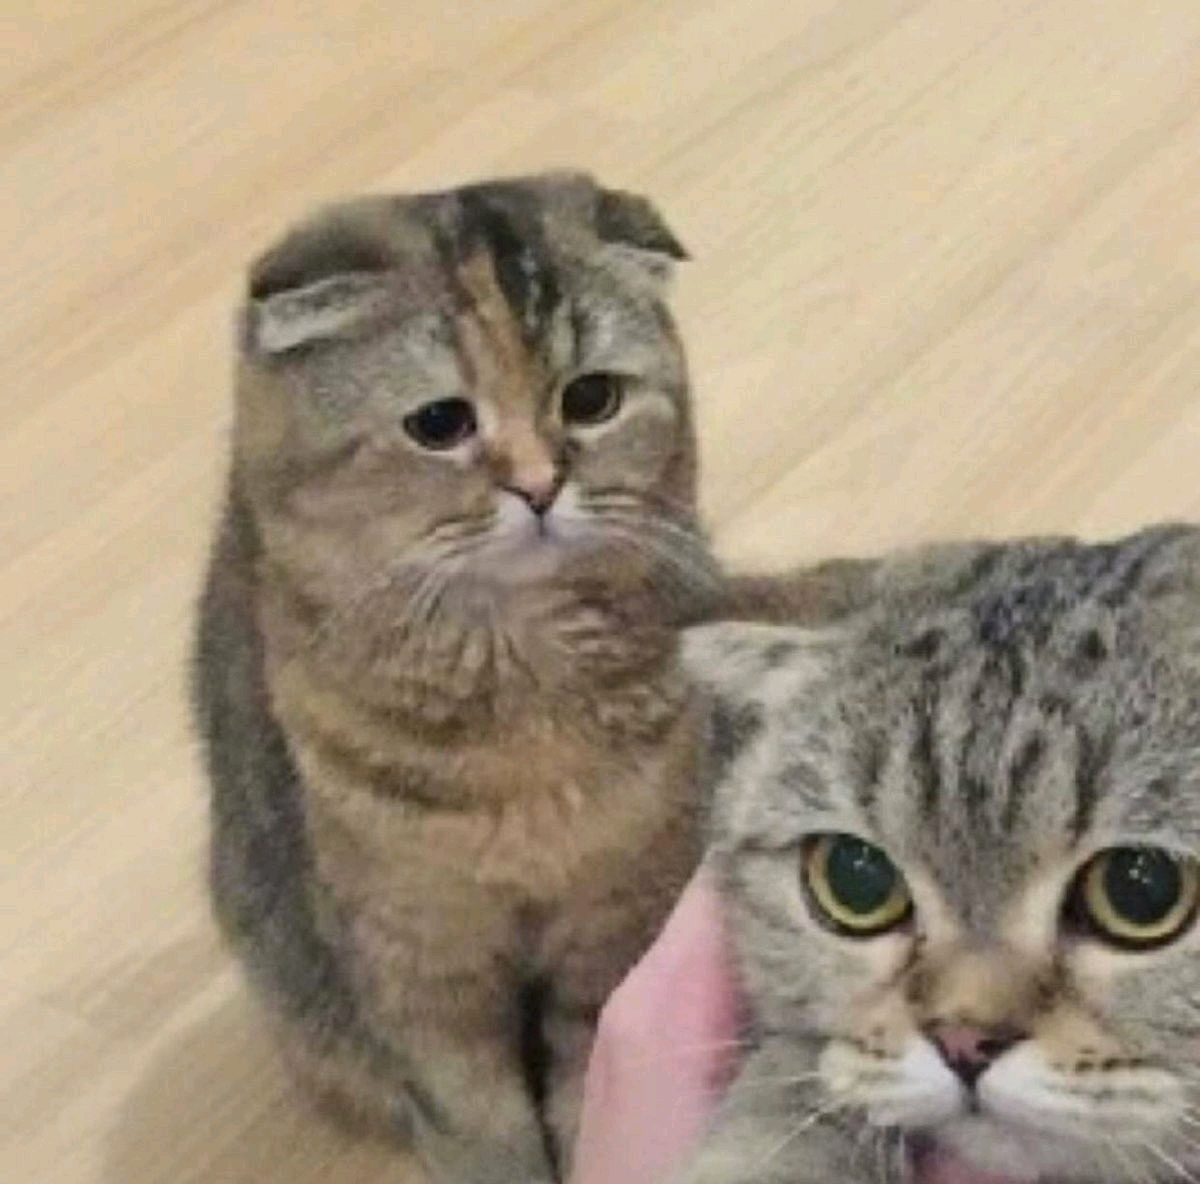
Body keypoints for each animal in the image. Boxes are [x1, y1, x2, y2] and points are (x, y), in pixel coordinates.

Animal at [191, 171, 727, 1184]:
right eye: (440, 423)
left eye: (591, 398)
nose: (541, 486)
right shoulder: (417, 964)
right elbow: (481, 1127)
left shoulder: (609, 924)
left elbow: (580, 1090)